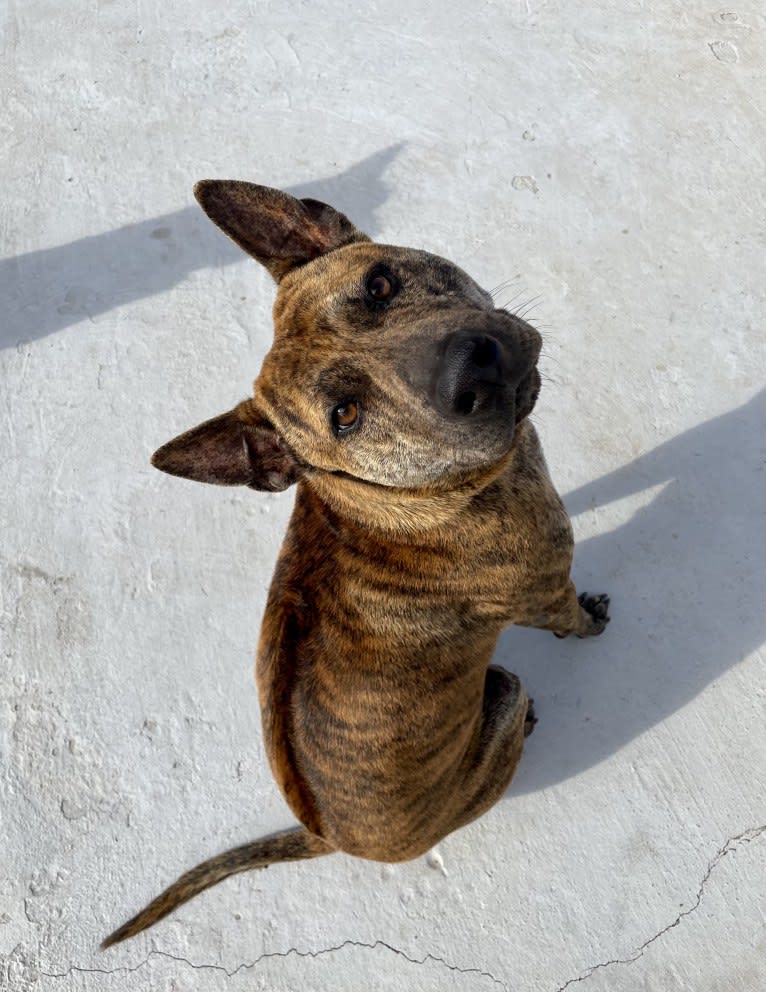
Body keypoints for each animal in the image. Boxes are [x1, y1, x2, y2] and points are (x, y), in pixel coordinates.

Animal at [102, 182, 608, 948]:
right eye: (345, 414)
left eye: (380, 284)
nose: (474, 366)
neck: (402, 500)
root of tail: (325, 835)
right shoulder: (549, 587)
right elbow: (571, 616)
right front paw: (592, 622)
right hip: (503, 697)